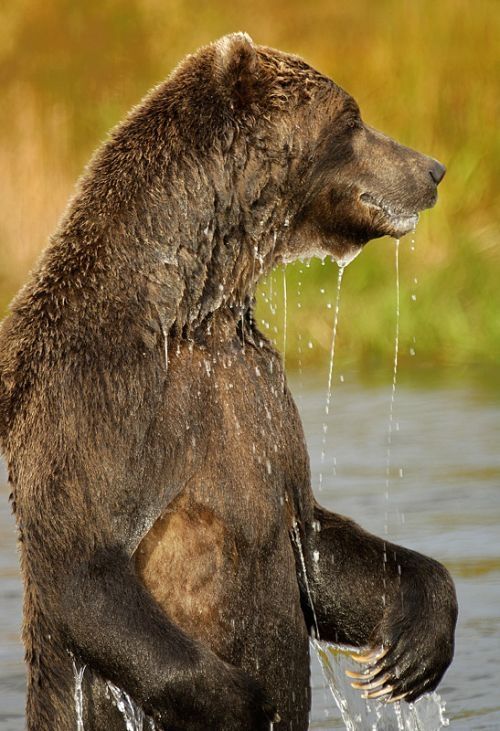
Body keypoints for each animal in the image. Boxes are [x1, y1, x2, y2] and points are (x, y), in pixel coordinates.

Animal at [0, 31, 458, 728]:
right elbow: (84, 564)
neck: (193, 312)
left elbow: (309, 539)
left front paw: (411, 646)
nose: (432, 169)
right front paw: (241, 703)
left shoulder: (256, 385)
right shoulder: (93, 394)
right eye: (352, 119)